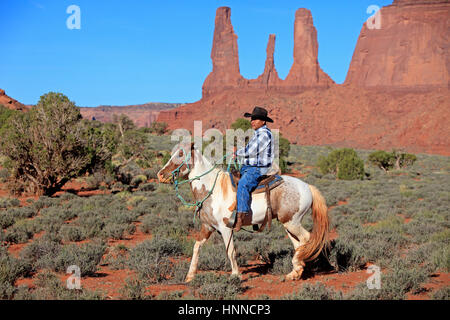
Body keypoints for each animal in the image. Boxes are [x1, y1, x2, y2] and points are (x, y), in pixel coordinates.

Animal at [156, 142, 328, 282]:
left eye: (180, 154)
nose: (160, 174)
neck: (212, 190)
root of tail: (307, 186)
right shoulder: (207, 227)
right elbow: (196, 247)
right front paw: (190, 276)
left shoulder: (226, 228)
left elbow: (230, 251)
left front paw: (235, 275)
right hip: (288, 224)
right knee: (299, 244)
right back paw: (295, 272)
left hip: (293, 222)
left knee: (306, 239)